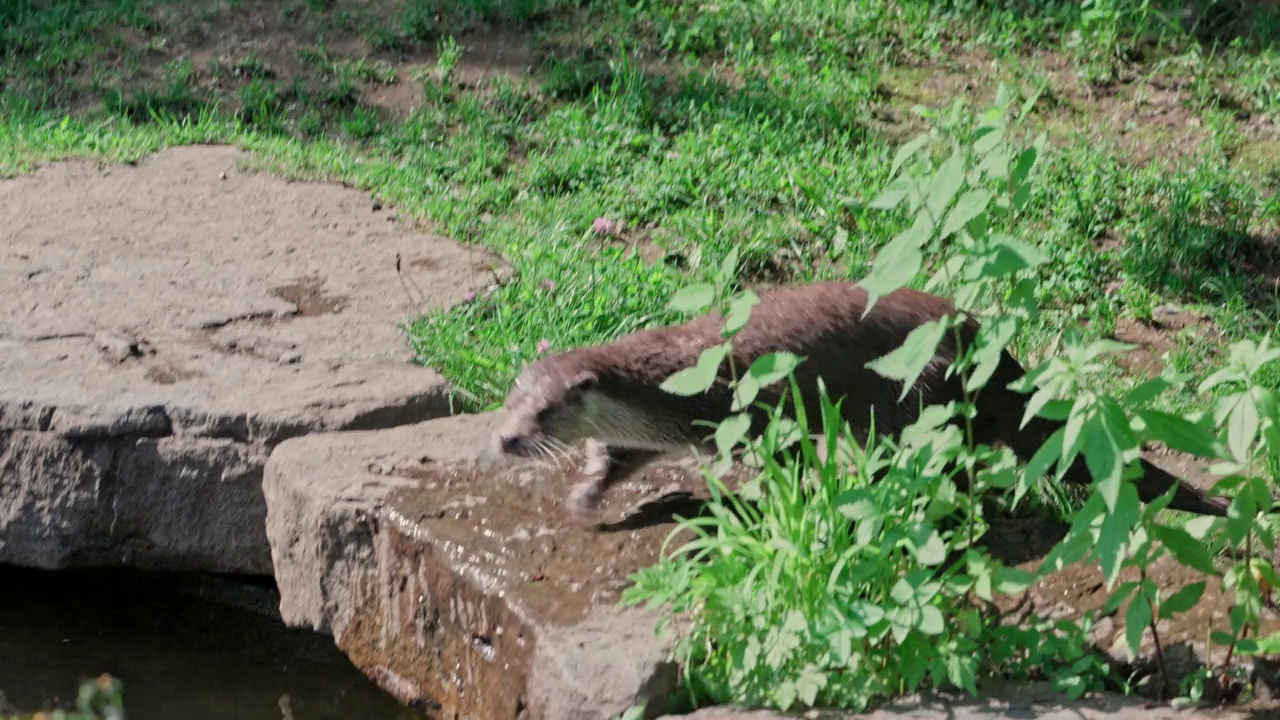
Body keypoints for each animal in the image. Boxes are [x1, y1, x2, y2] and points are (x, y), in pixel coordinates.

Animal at [494, 278, 1233, 517]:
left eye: (545, 411)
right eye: (510, 401)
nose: (504, 438)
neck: (673, 379)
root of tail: (989, 349)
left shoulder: (748, 409)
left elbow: (783, 457)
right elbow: (618, 455)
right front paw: (588, 493)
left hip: (917, 392)